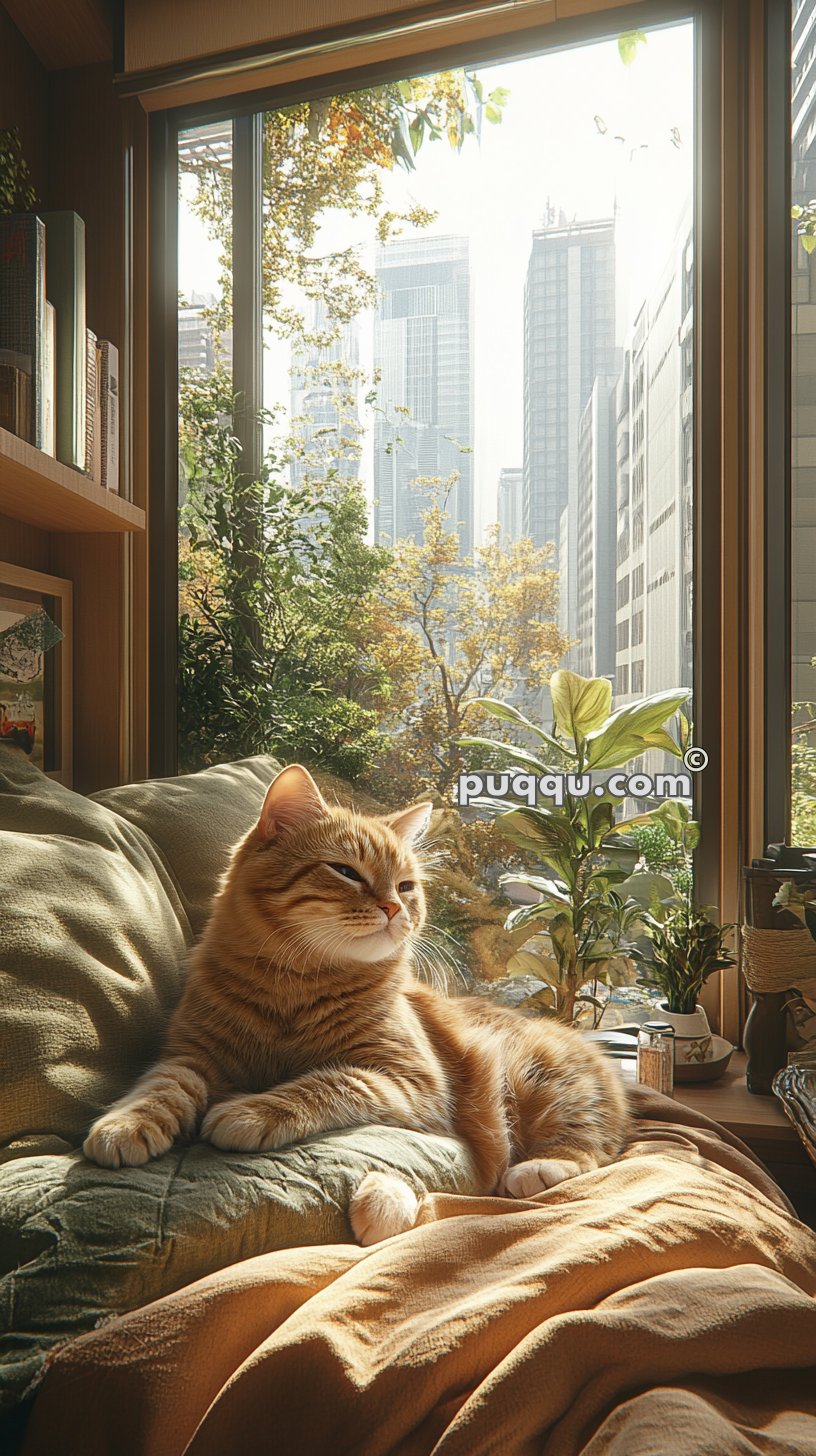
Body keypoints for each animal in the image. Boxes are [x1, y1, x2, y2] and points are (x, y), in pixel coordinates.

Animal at [84, 762, 632, 1240]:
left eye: (407, 886)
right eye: (347, 872)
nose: (394, 907)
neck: (296, 986)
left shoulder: (409, 1081)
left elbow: (326, 1083)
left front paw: (251, 1111)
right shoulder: (192, 1056)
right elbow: (160, 1087)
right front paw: (125, 1123)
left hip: (546, 1085)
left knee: (591, 1145)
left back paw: (540, 1166)